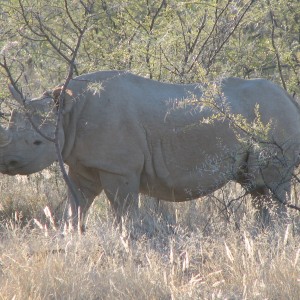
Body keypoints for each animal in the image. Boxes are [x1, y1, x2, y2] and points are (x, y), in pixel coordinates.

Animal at [0, 71, 300, 231]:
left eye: (36, 143)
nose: (5, 163)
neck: (69, 113)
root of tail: (289, 98)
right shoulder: (83, 163)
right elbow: (78, 204)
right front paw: (74, 235)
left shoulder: (118, 168)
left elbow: (123, 209)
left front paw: (126, 239)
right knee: (257, 189)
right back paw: (263, 233)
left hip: (273, 118)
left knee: (272, 187)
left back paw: (277, 234)